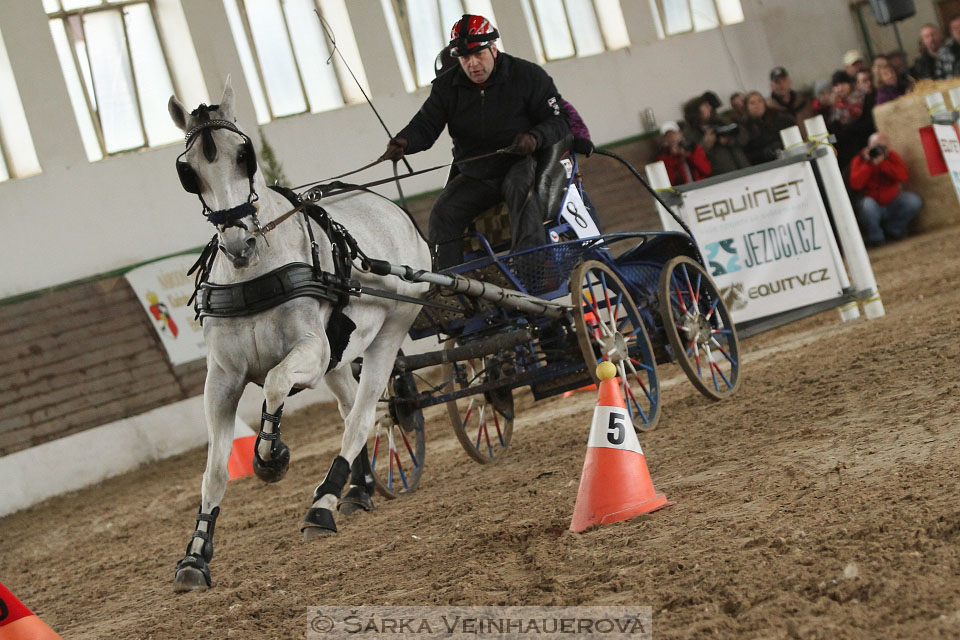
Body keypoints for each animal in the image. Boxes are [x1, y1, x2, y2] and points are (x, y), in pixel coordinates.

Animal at [169, 79, 432, 592]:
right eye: (189, 172)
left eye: (244, 155)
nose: (238, 244)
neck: (255, 274)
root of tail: (391, 208)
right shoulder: (222, 379)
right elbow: (214, 471)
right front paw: (195, 555)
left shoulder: (308, 352)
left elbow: (273, 384)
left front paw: (272, 458)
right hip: (340, 356)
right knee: (353, 410)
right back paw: (356, 492)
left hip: (389, 332)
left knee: (364, 416)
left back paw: (322, 505)